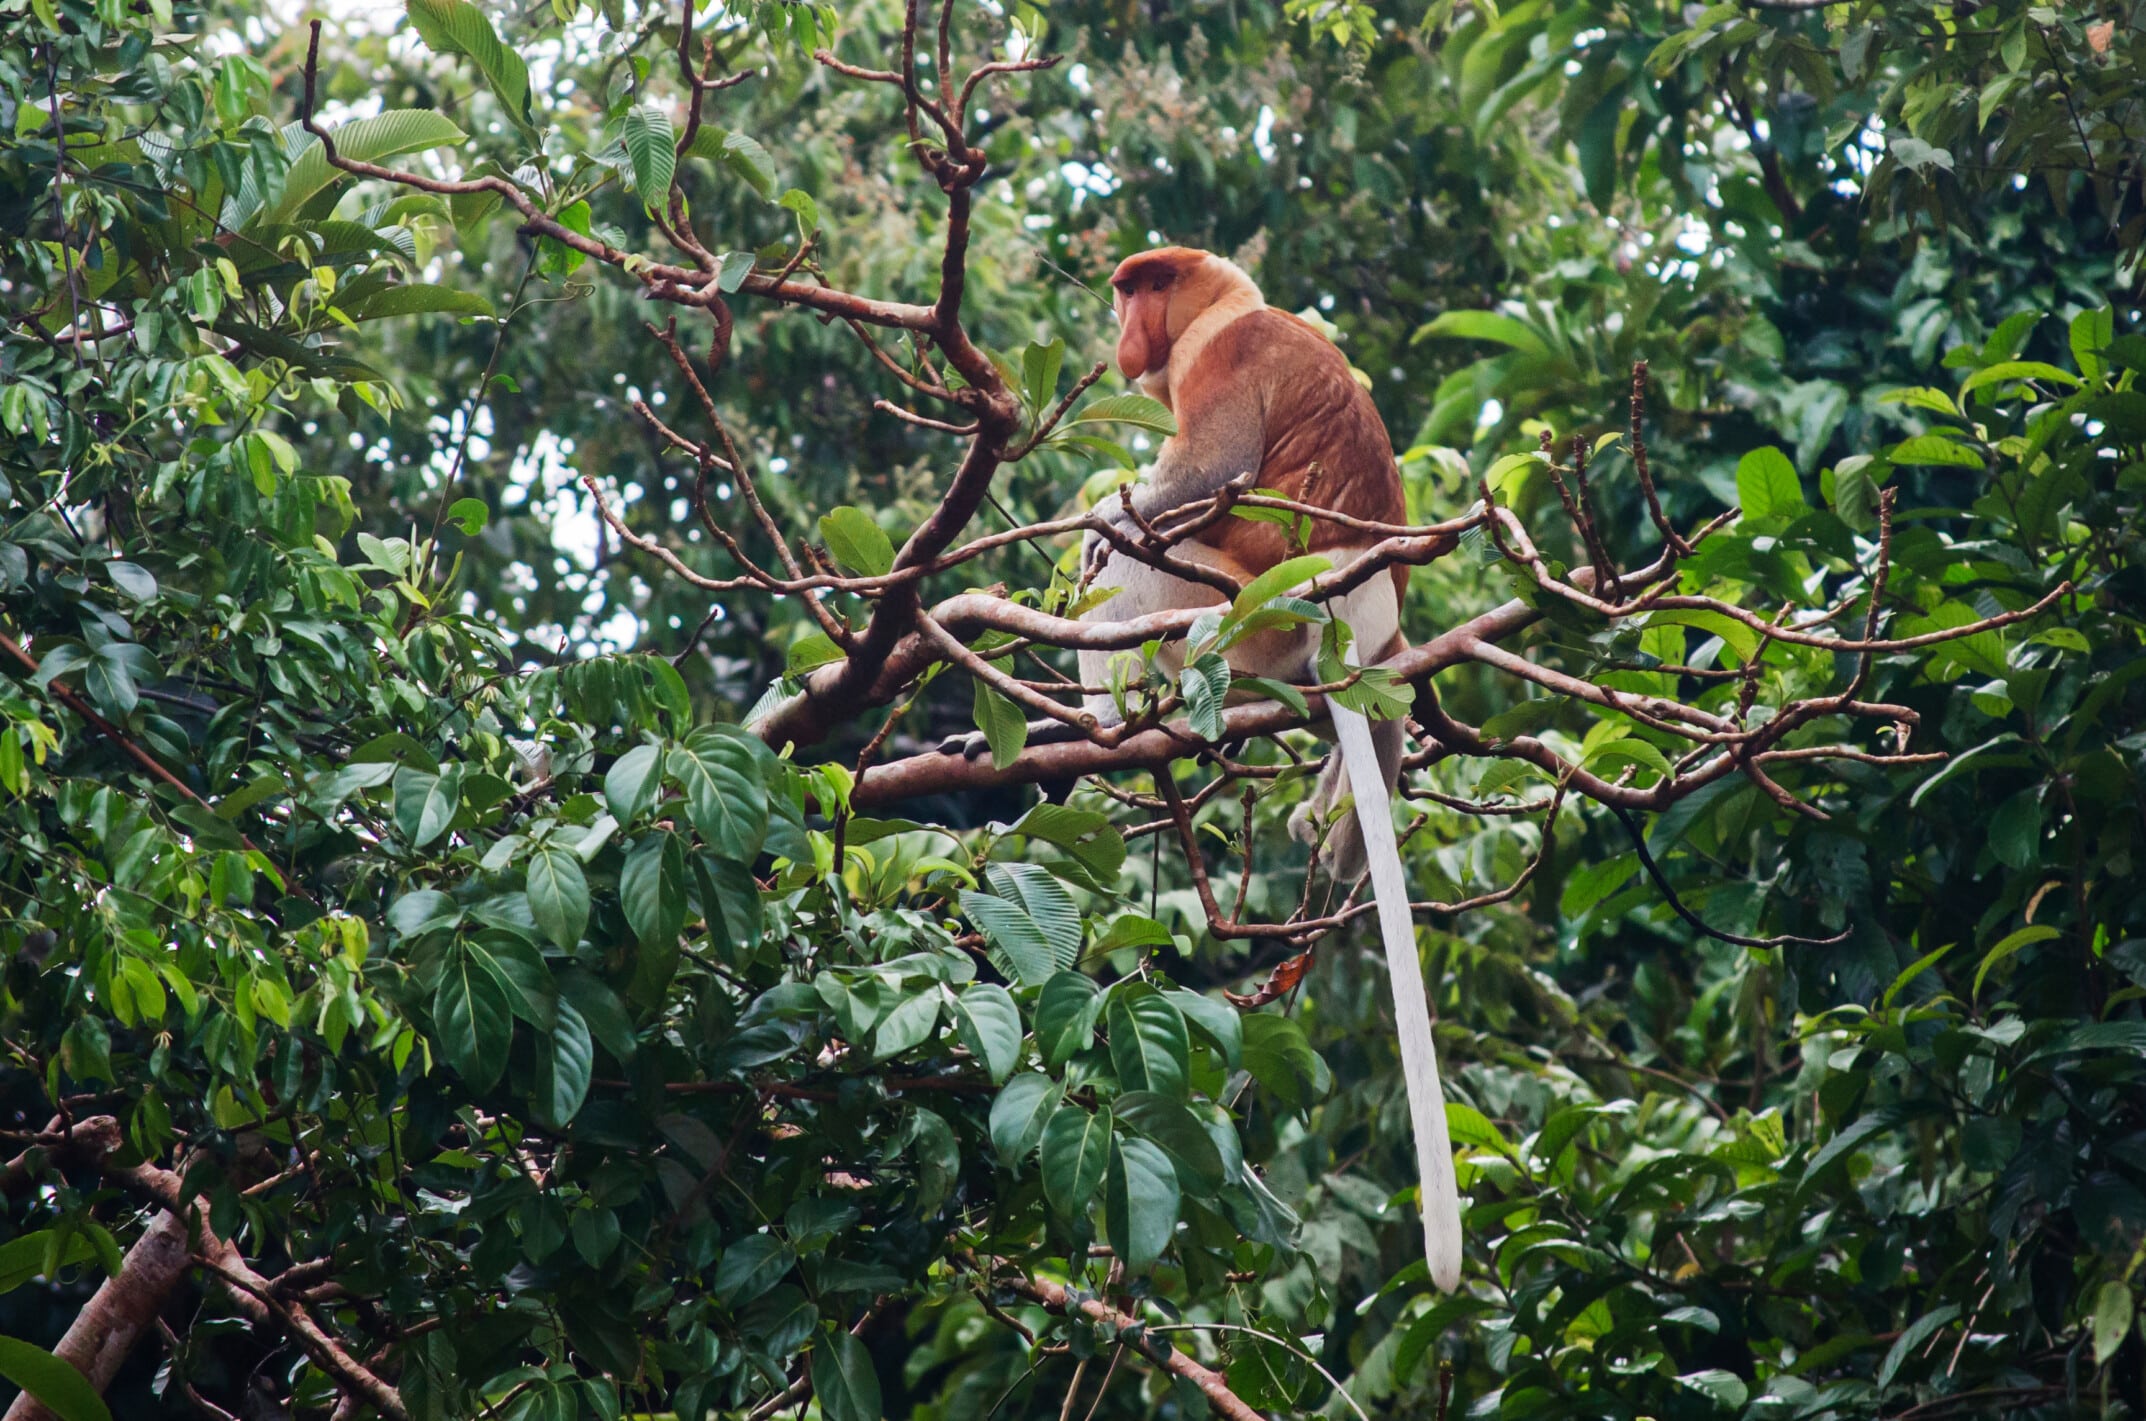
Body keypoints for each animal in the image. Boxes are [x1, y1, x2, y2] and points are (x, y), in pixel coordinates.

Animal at [944, 247, 1464, 1290]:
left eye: (1143, 288)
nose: (1122, 332)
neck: (1228, 307)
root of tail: (1353, 614)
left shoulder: (1225, 357)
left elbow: (1206, 473)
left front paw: (1094, 522)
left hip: (1238, 611)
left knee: (1144, 561)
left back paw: (1090, 738)